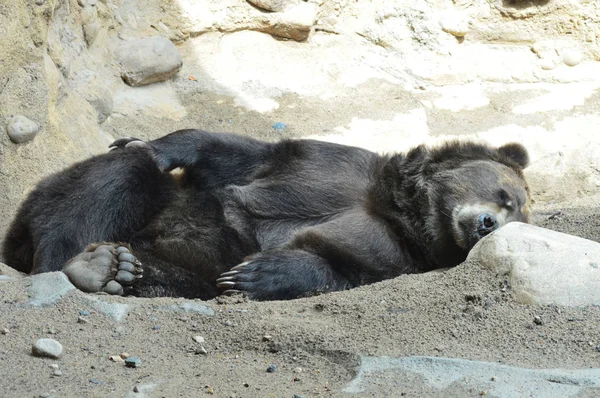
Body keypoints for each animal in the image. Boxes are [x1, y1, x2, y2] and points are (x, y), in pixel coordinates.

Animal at [3, 129, 528, 300]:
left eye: (519, 214)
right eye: (506, 194)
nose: (487, 225)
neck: (399, 209)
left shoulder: (392, 254)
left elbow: (337, 264)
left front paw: (256, 274)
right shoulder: (329, 166)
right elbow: (239, 157)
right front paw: (153, 142)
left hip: (191, 263)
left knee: (172, 276)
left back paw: (112, 268)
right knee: (110, 181)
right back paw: (80, 258)